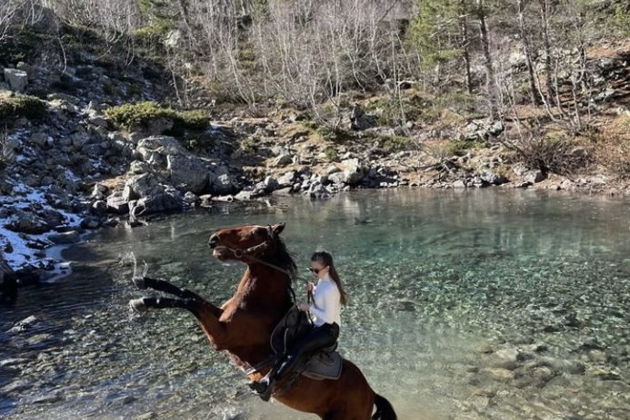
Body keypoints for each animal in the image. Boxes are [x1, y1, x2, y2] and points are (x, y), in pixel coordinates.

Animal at [129, 221, 398, 418]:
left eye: (255, 232)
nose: (213, 239)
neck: (258, 303)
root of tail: (370, 393)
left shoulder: (220, 336)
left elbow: (190, 301)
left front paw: (143, 301)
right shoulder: (219, 316)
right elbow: (186, 293)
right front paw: (144, 283)